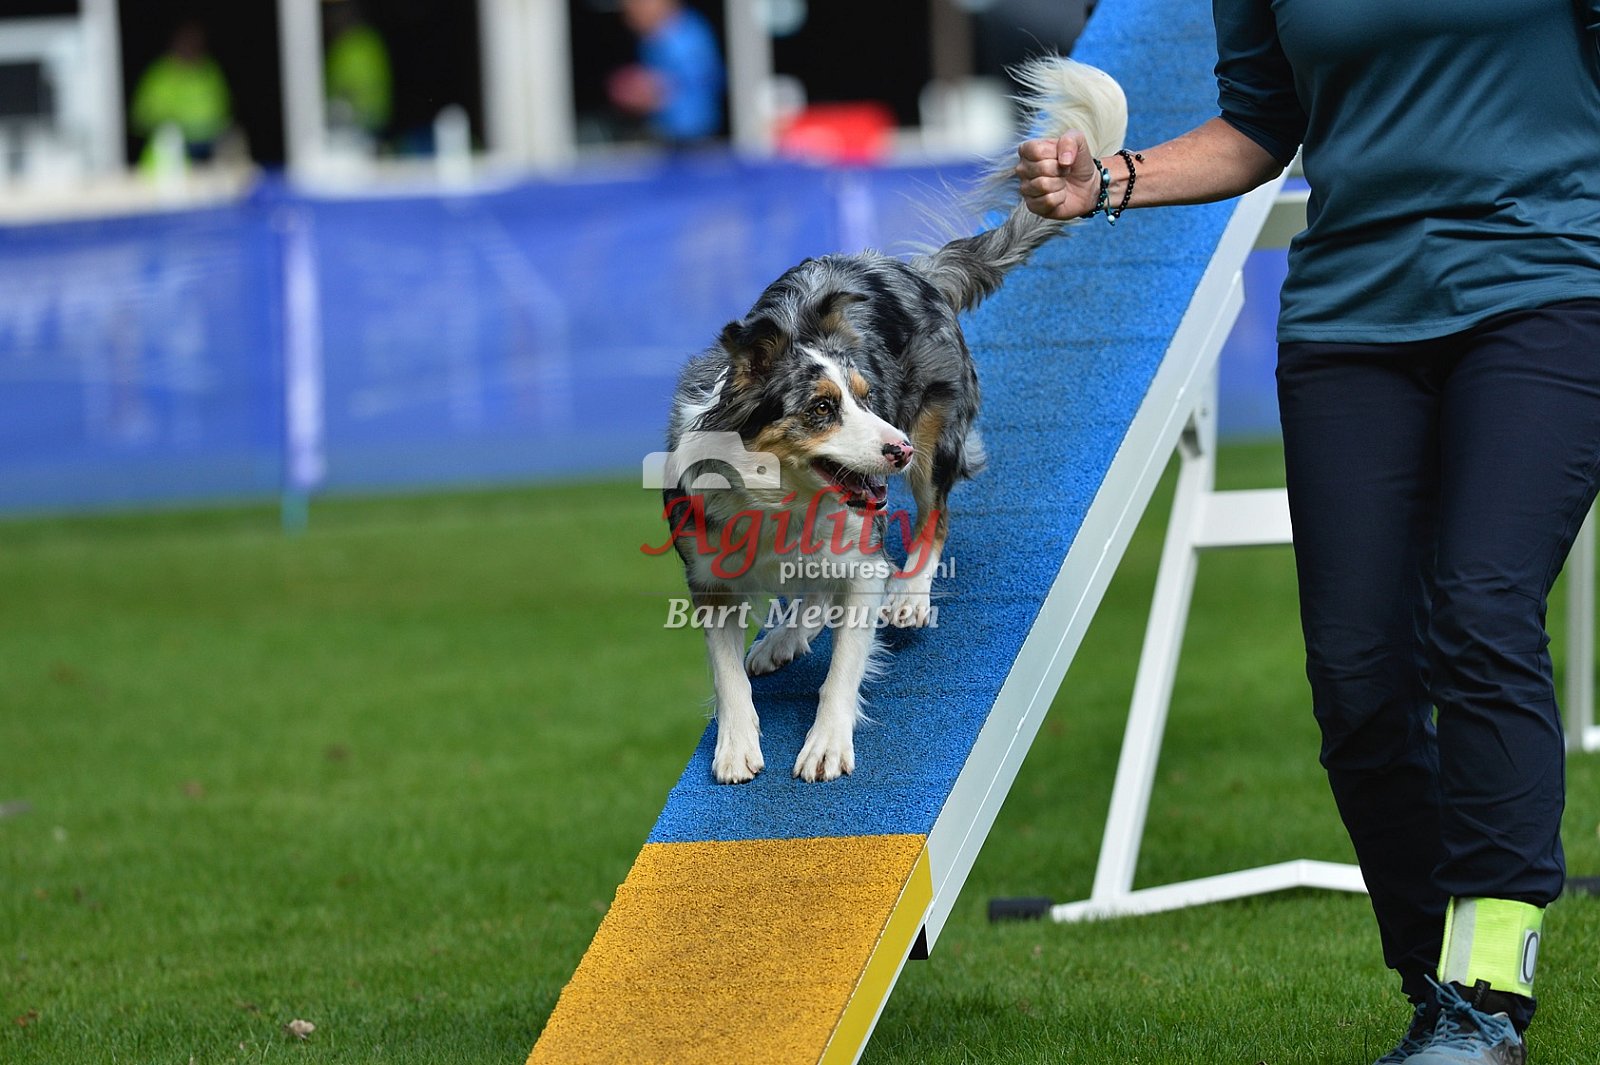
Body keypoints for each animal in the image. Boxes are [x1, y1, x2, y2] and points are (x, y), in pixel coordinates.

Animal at [657, 57, 1126, 784]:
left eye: (864, 396)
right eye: (821, 408)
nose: (896, 448)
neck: (780, 500)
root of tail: (916, 271)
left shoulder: (862, 557)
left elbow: (847, 660)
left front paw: (825, 744)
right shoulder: (708, 576)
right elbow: (726, 669)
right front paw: (736, 746)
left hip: (939, 436)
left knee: (936, 516)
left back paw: (911, 596)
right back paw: (785, 636)